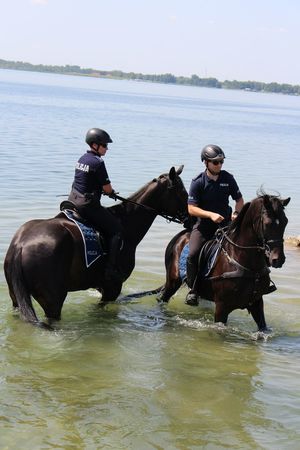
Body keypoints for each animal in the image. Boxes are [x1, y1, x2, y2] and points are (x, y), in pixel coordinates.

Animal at [4, 165, 188, 326]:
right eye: (182, 193)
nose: (189, 219)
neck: (126, 222)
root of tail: (20, 246)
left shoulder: (103, 287)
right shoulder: (112, 288)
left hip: (16, 297)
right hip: (53, 301)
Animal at [154, 193, 290, 330]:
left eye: (285, 222)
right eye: (267, 223)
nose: (278, 259)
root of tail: (180, 236)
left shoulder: (257, 303)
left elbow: (263, 329)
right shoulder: (222, 308)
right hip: (173, 281)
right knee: (162, 298)